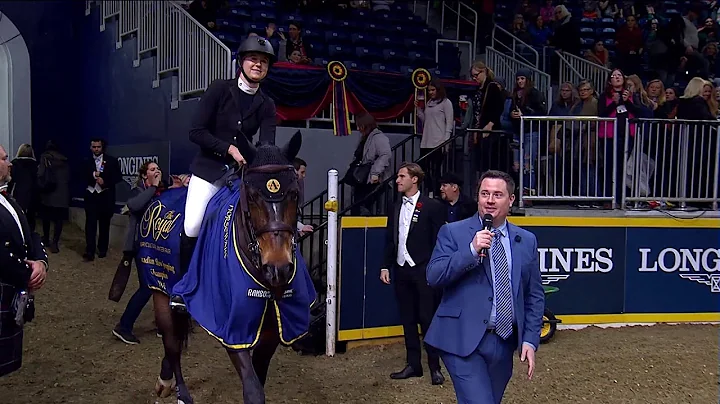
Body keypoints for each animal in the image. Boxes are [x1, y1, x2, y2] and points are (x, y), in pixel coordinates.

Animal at [155, 132, 312, 404]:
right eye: (252, 196)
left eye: (294, 193)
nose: (278, 269)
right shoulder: (233, 330)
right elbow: (253, 390)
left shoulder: (271, 332)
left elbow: (259, 380)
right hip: (160, 290)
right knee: (172, 344)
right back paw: (181, 392)